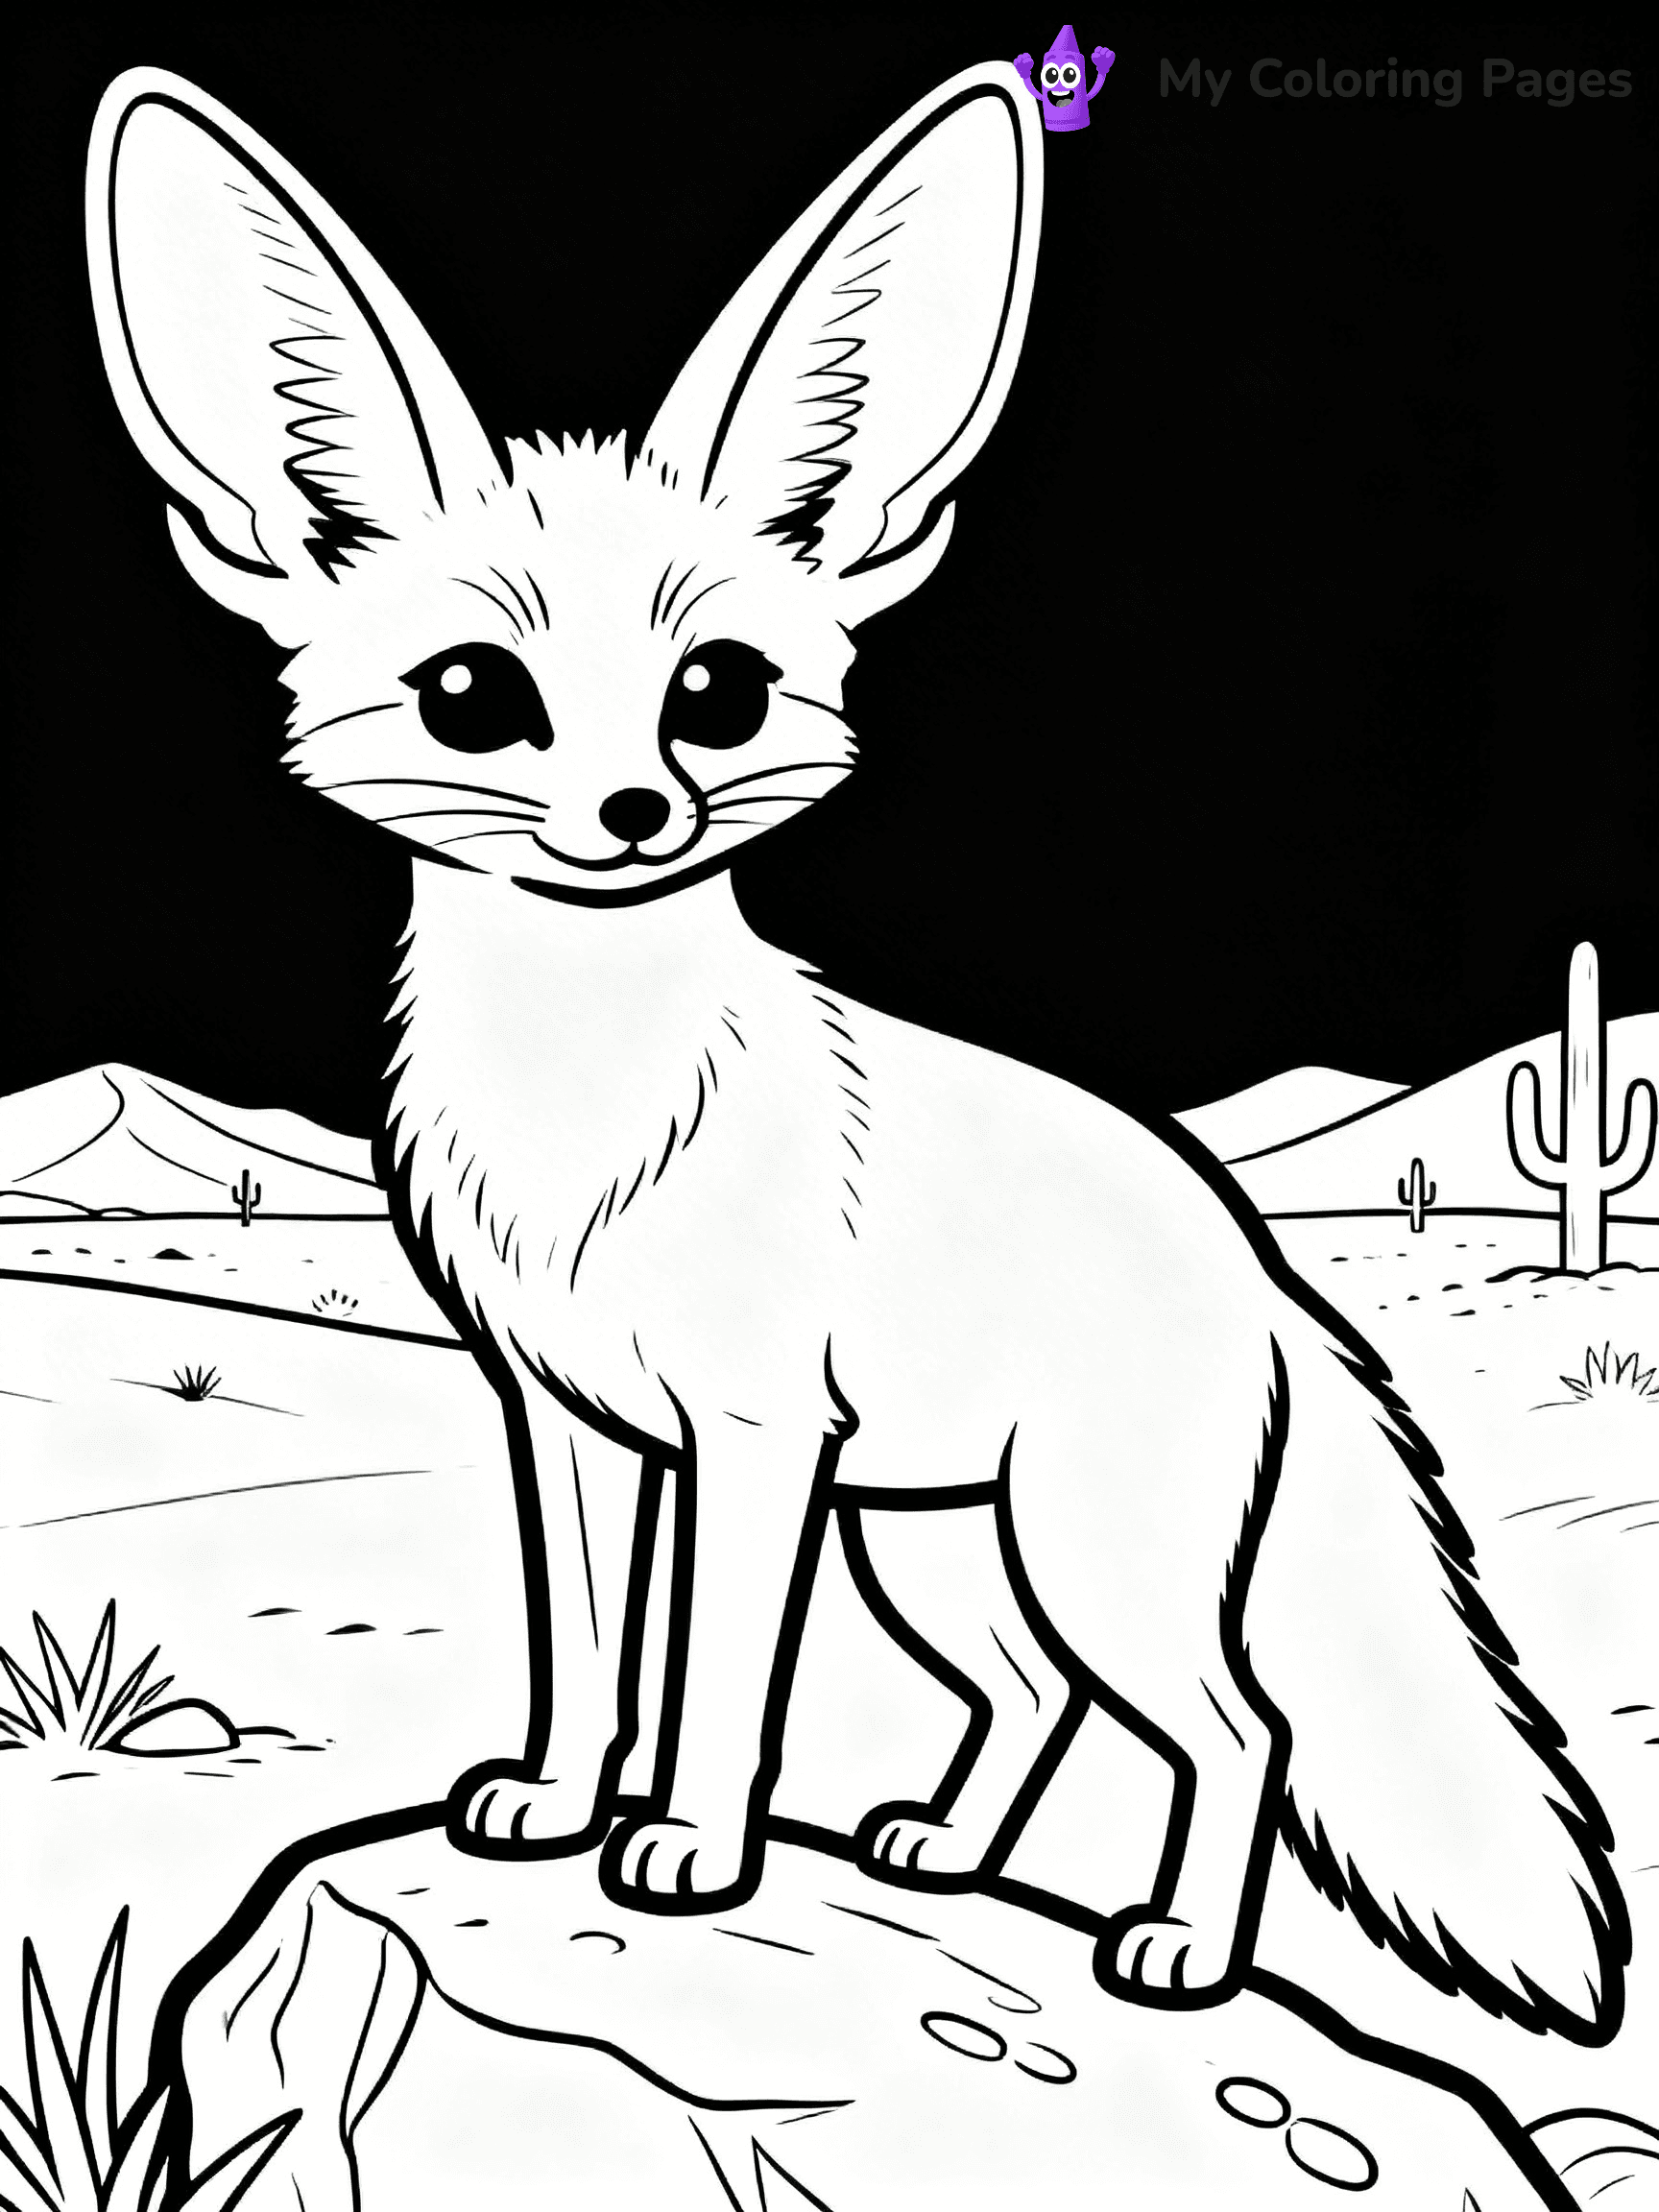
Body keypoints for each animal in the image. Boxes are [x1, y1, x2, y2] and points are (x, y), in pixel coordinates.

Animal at [86, 60, 1628, 2033]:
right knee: (1034, 1694)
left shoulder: (751, 1434)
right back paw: (946, 1850)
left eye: (719, 692)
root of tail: (1257, 1265)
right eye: (471, 699)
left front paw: (688, 1852)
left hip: (1081, 1549)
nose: (637, 814)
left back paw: (1181, 1952)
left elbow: (718, 1684)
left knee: (1240, 1727)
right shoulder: (571, 1419)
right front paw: (555, 1808)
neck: (586, 1108)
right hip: (936, 1534)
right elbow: (589, 1659)